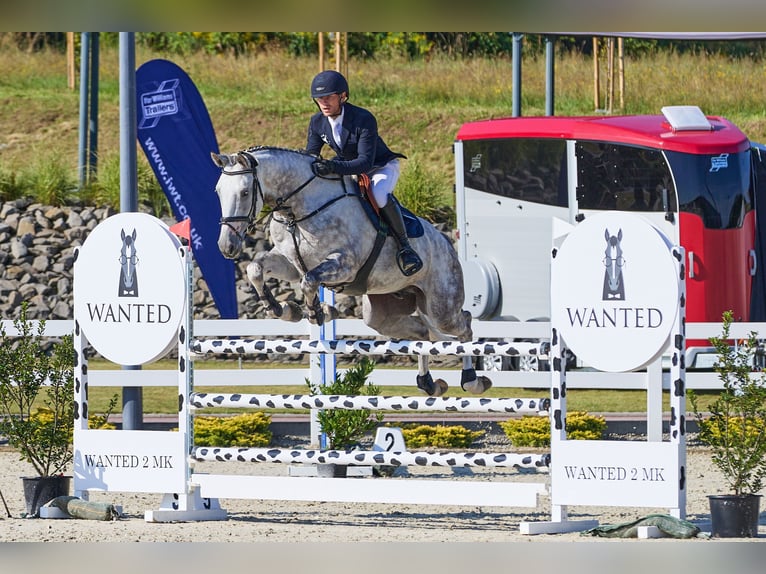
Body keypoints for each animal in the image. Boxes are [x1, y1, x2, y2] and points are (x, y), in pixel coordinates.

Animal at [213, 146, 496, 398]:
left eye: (245, 192)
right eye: (218, 191)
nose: (227, 246)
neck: (298, 209)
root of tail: (447, 243)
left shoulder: (345, 264)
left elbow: (309, 281)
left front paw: (318, 312)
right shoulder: (290, 263)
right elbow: (255, 267)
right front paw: (282, 309)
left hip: (441, 307)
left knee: (465, 324)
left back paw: (472, 381)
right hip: (383, 314)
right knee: (422, 333)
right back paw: (429, 384)